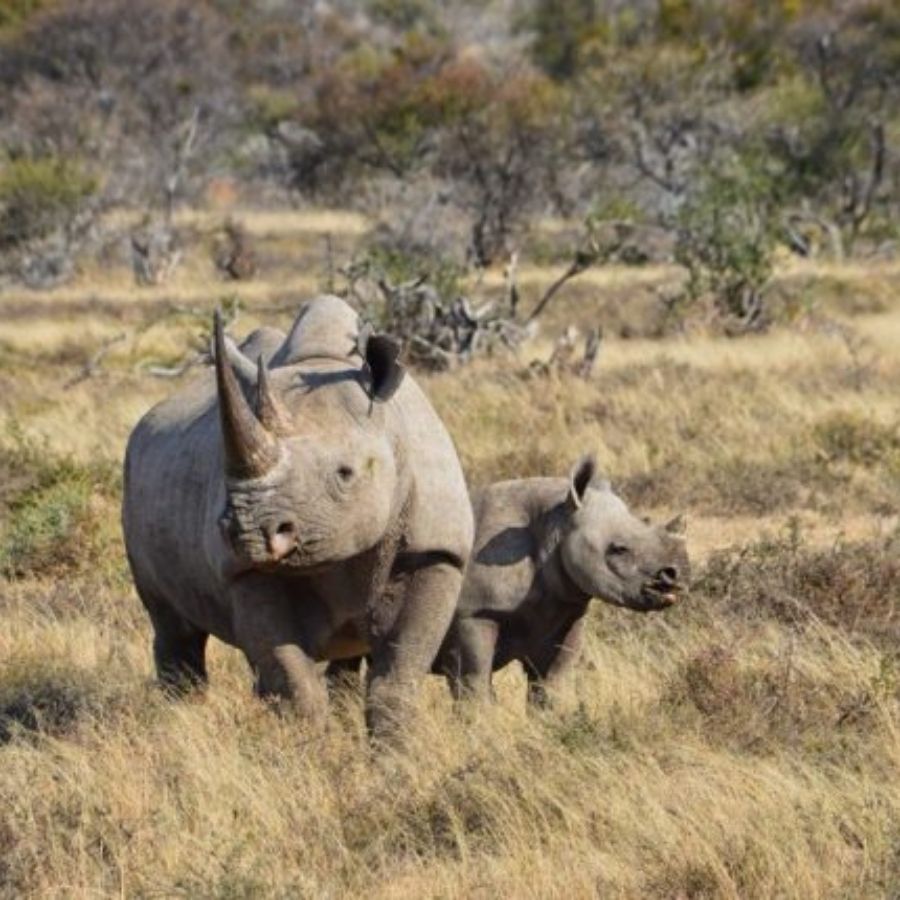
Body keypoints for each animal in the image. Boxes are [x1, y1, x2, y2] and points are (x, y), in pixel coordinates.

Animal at [122, 296, 474, 740]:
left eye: (345, 473)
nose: (247, 532)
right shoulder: (245, 571)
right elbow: (294, 684)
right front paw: (310, 751)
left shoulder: (435, 552)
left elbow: (397, 677)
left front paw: (394, 755)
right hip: (135, 478)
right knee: (174, 627)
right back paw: (180, 721)